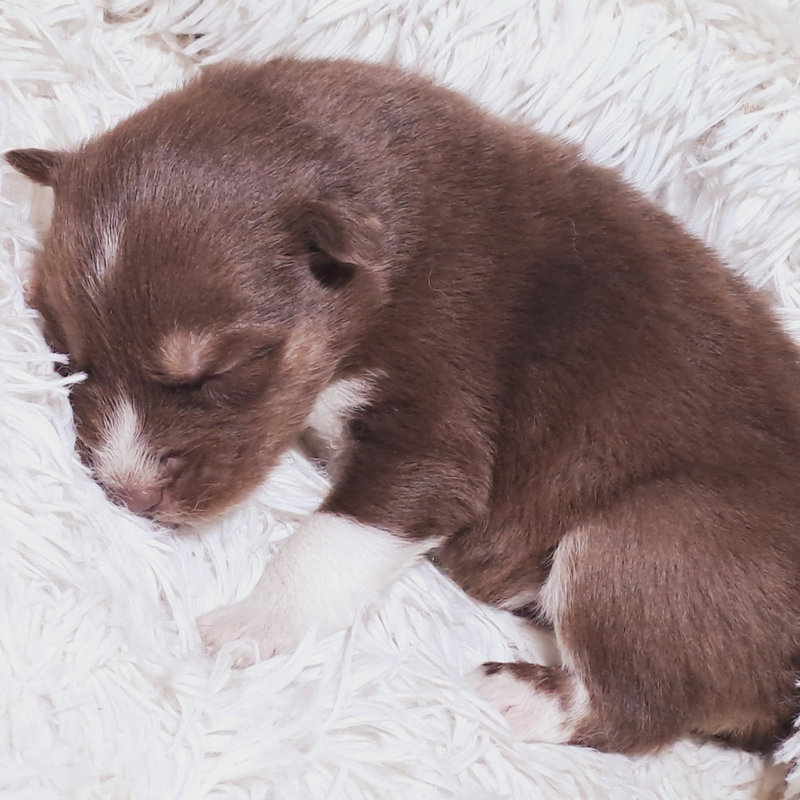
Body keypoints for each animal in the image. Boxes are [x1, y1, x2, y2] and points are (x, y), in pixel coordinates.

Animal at [6, 57, 800, 756]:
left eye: (216, 372)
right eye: (68, 358)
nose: (126, 493)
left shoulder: (433, 419)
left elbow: (330, 541)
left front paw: (249, 625)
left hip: (651, 543)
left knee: (635, 706)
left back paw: (513, 693)